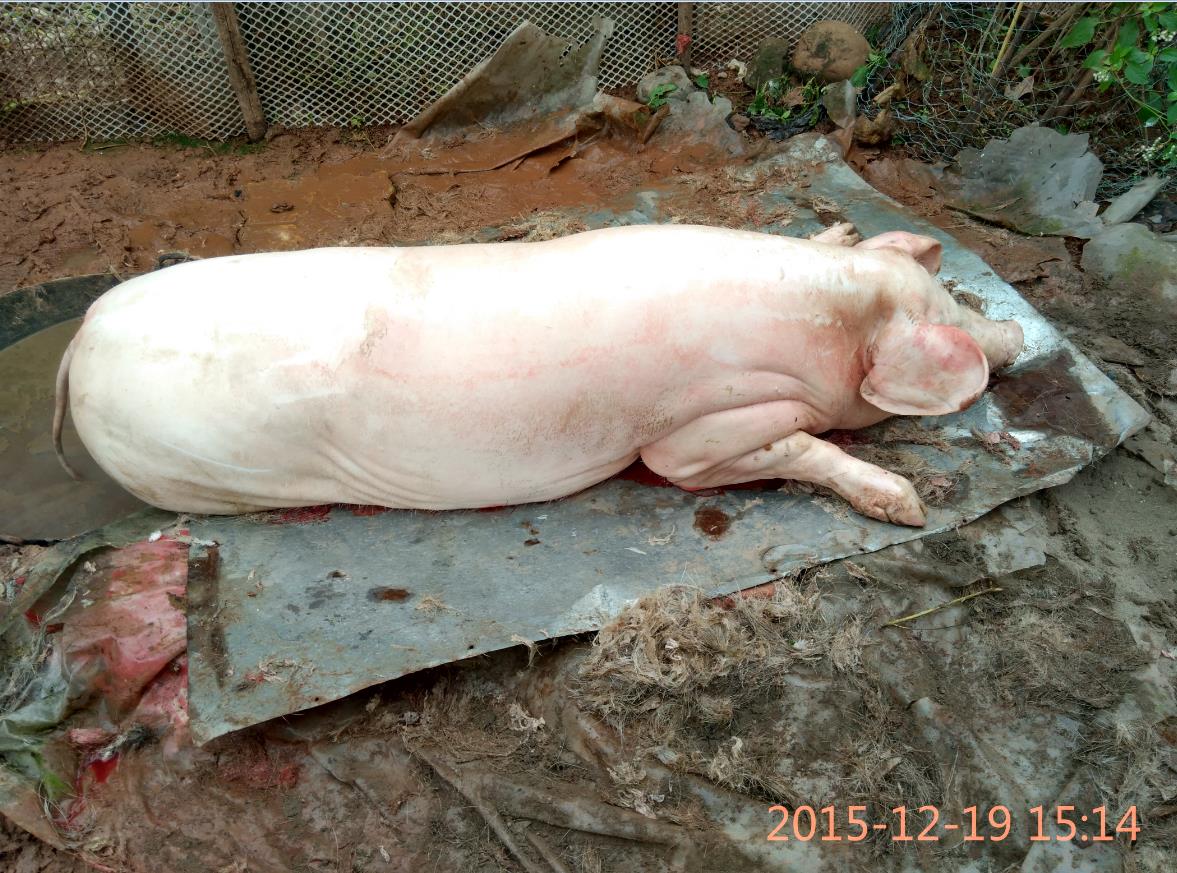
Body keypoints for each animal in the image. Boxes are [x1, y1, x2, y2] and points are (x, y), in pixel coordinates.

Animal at [53, 223, 1023, 526]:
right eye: (947, 311)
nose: (1014, 327)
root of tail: (84, 333)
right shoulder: (693, 434)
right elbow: (771, 448)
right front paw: (909, 505)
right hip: (187, 468)